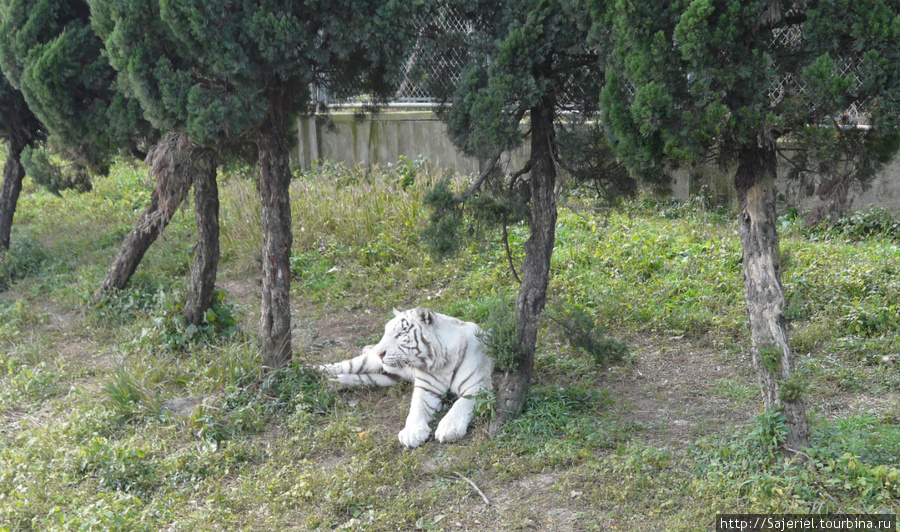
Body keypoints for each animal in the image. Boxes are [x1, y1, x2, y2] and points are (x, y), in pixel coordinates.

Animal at [318, 308, 492, 448]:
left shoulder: (478, 387)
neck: (442, 362)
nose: (379, 353)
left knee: (358, 378)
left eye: (400, 334)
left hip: (386, 378)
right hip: (369, 362)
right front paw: (411, 433)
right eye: (386, 333)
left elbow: (461, 404)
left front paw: (449, 428)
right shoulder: (425, 388)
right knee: (345, 365)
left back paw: (331, 383)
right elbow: (416, 409)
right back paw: (315, 371)